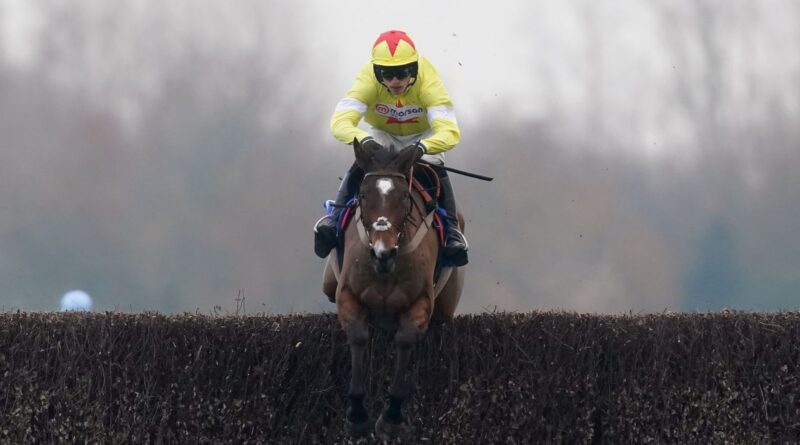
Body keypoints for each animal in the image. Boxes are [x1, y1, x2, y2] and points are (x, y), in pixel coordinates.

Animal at [322, 139, 466, 438]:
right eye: (364, 195)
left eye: (403, 197)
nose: (382, 251)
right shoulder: (346, 295)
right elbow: (358, 337)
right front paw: (357, 415)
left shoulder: (421, 301)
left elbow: (405, 340)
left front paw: (392, 417)